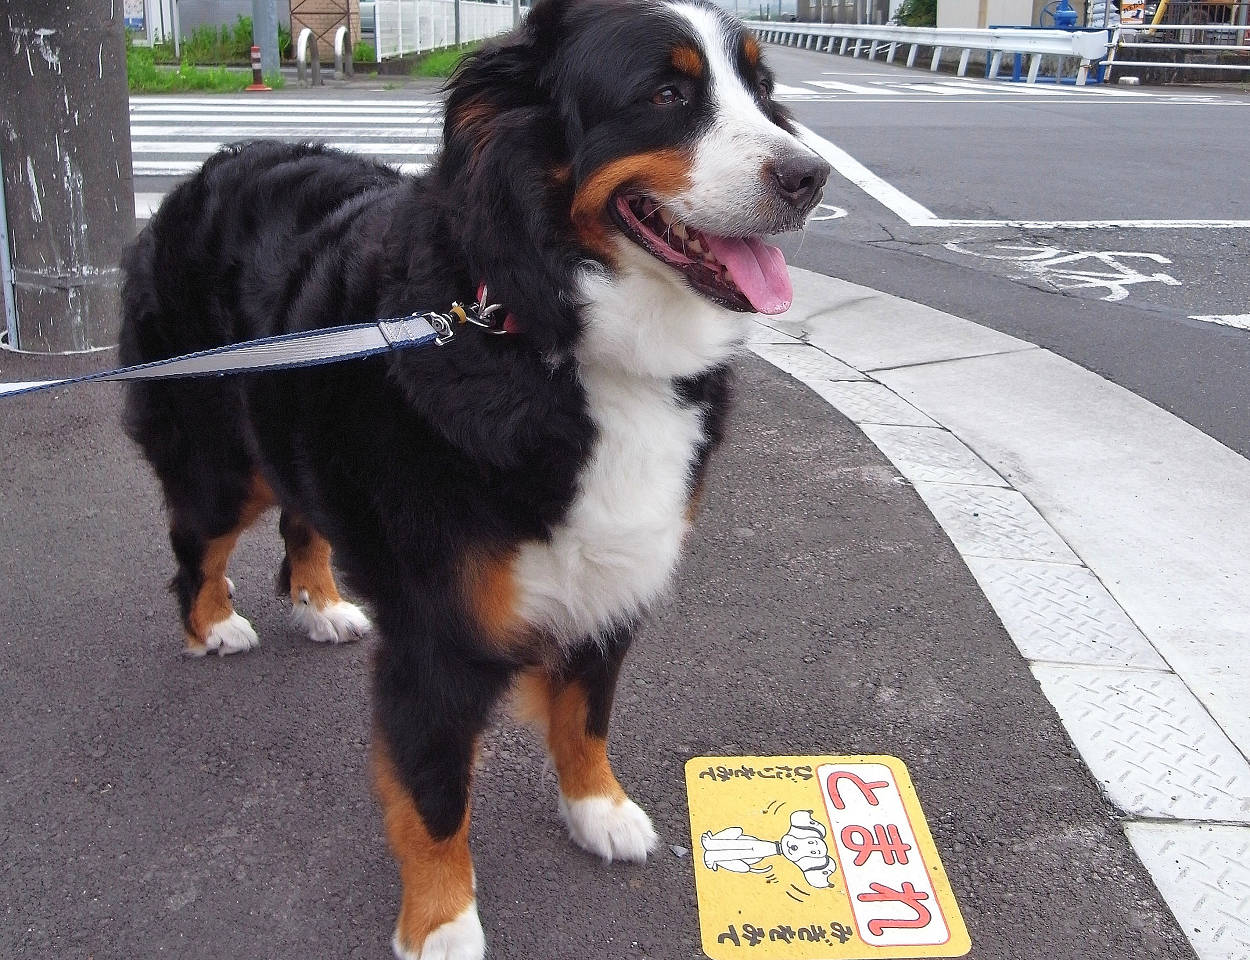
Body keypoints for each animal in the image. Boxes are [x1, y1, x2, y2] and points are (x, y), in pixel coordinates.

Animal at [119, 0, 830, 955]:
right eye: (666, 94)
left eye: (761, 88)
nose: (811, 176)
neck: (543, 332)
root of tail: (208, 168)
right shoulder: (440, 630)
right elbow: (433, 795)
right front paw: (442, 920)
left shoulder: (616, 571)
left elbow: (587, 710)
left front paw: (597, 808)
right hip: (219, 458)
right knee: (197, 546)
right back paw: (212, 628)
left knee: (302, 518)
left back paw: (320, 601)